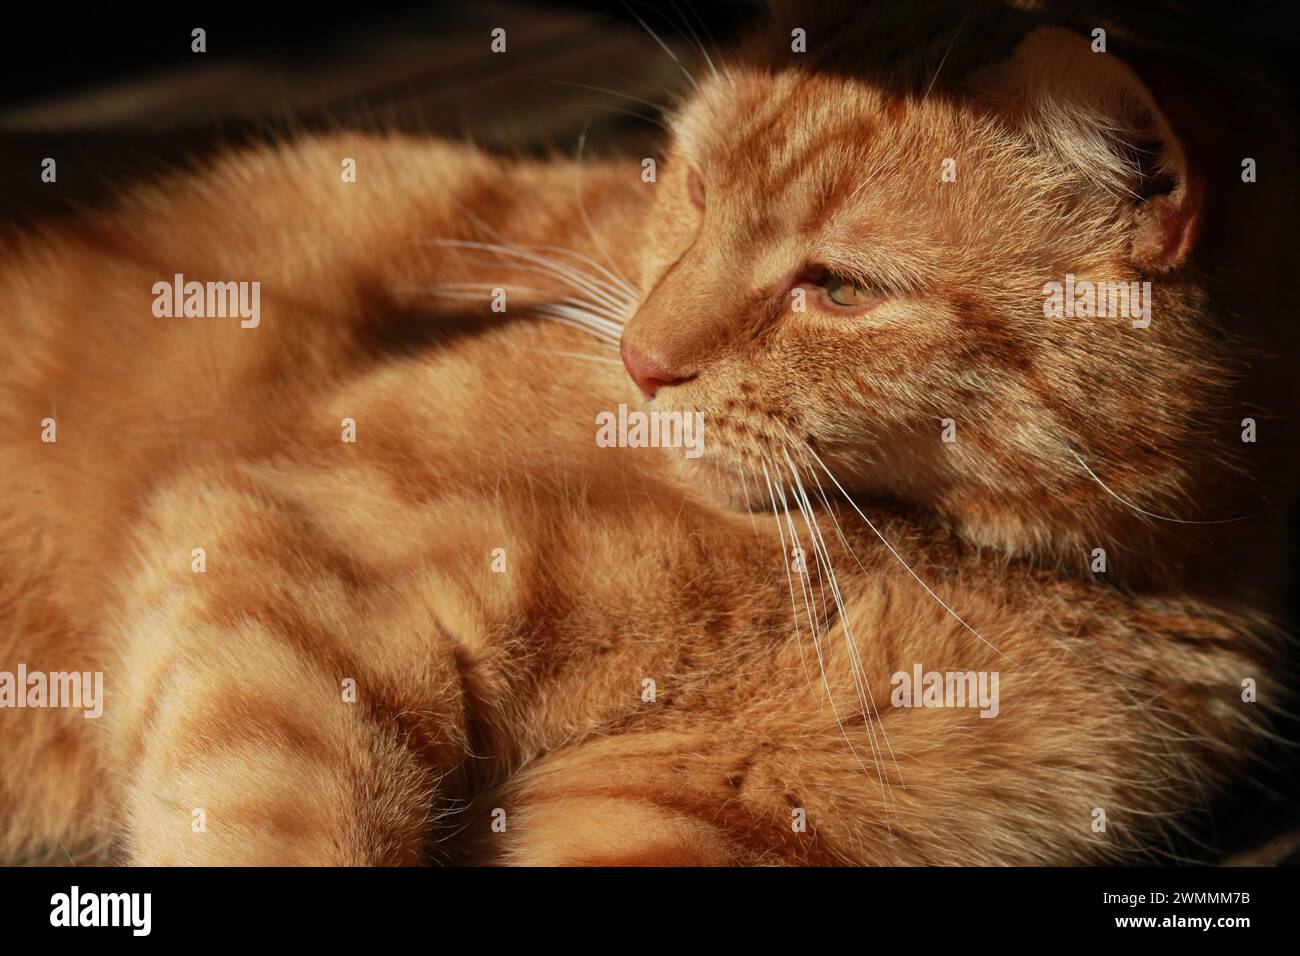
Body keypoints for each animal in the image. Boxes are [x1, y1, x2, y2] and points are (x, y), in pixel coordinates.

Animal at [2, 7, 1300, 863]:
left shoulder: (686, 807)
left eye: (839, 289)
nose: (639, 356)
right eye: (691, 192)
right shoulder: (305, 550)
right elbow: (280, 820)